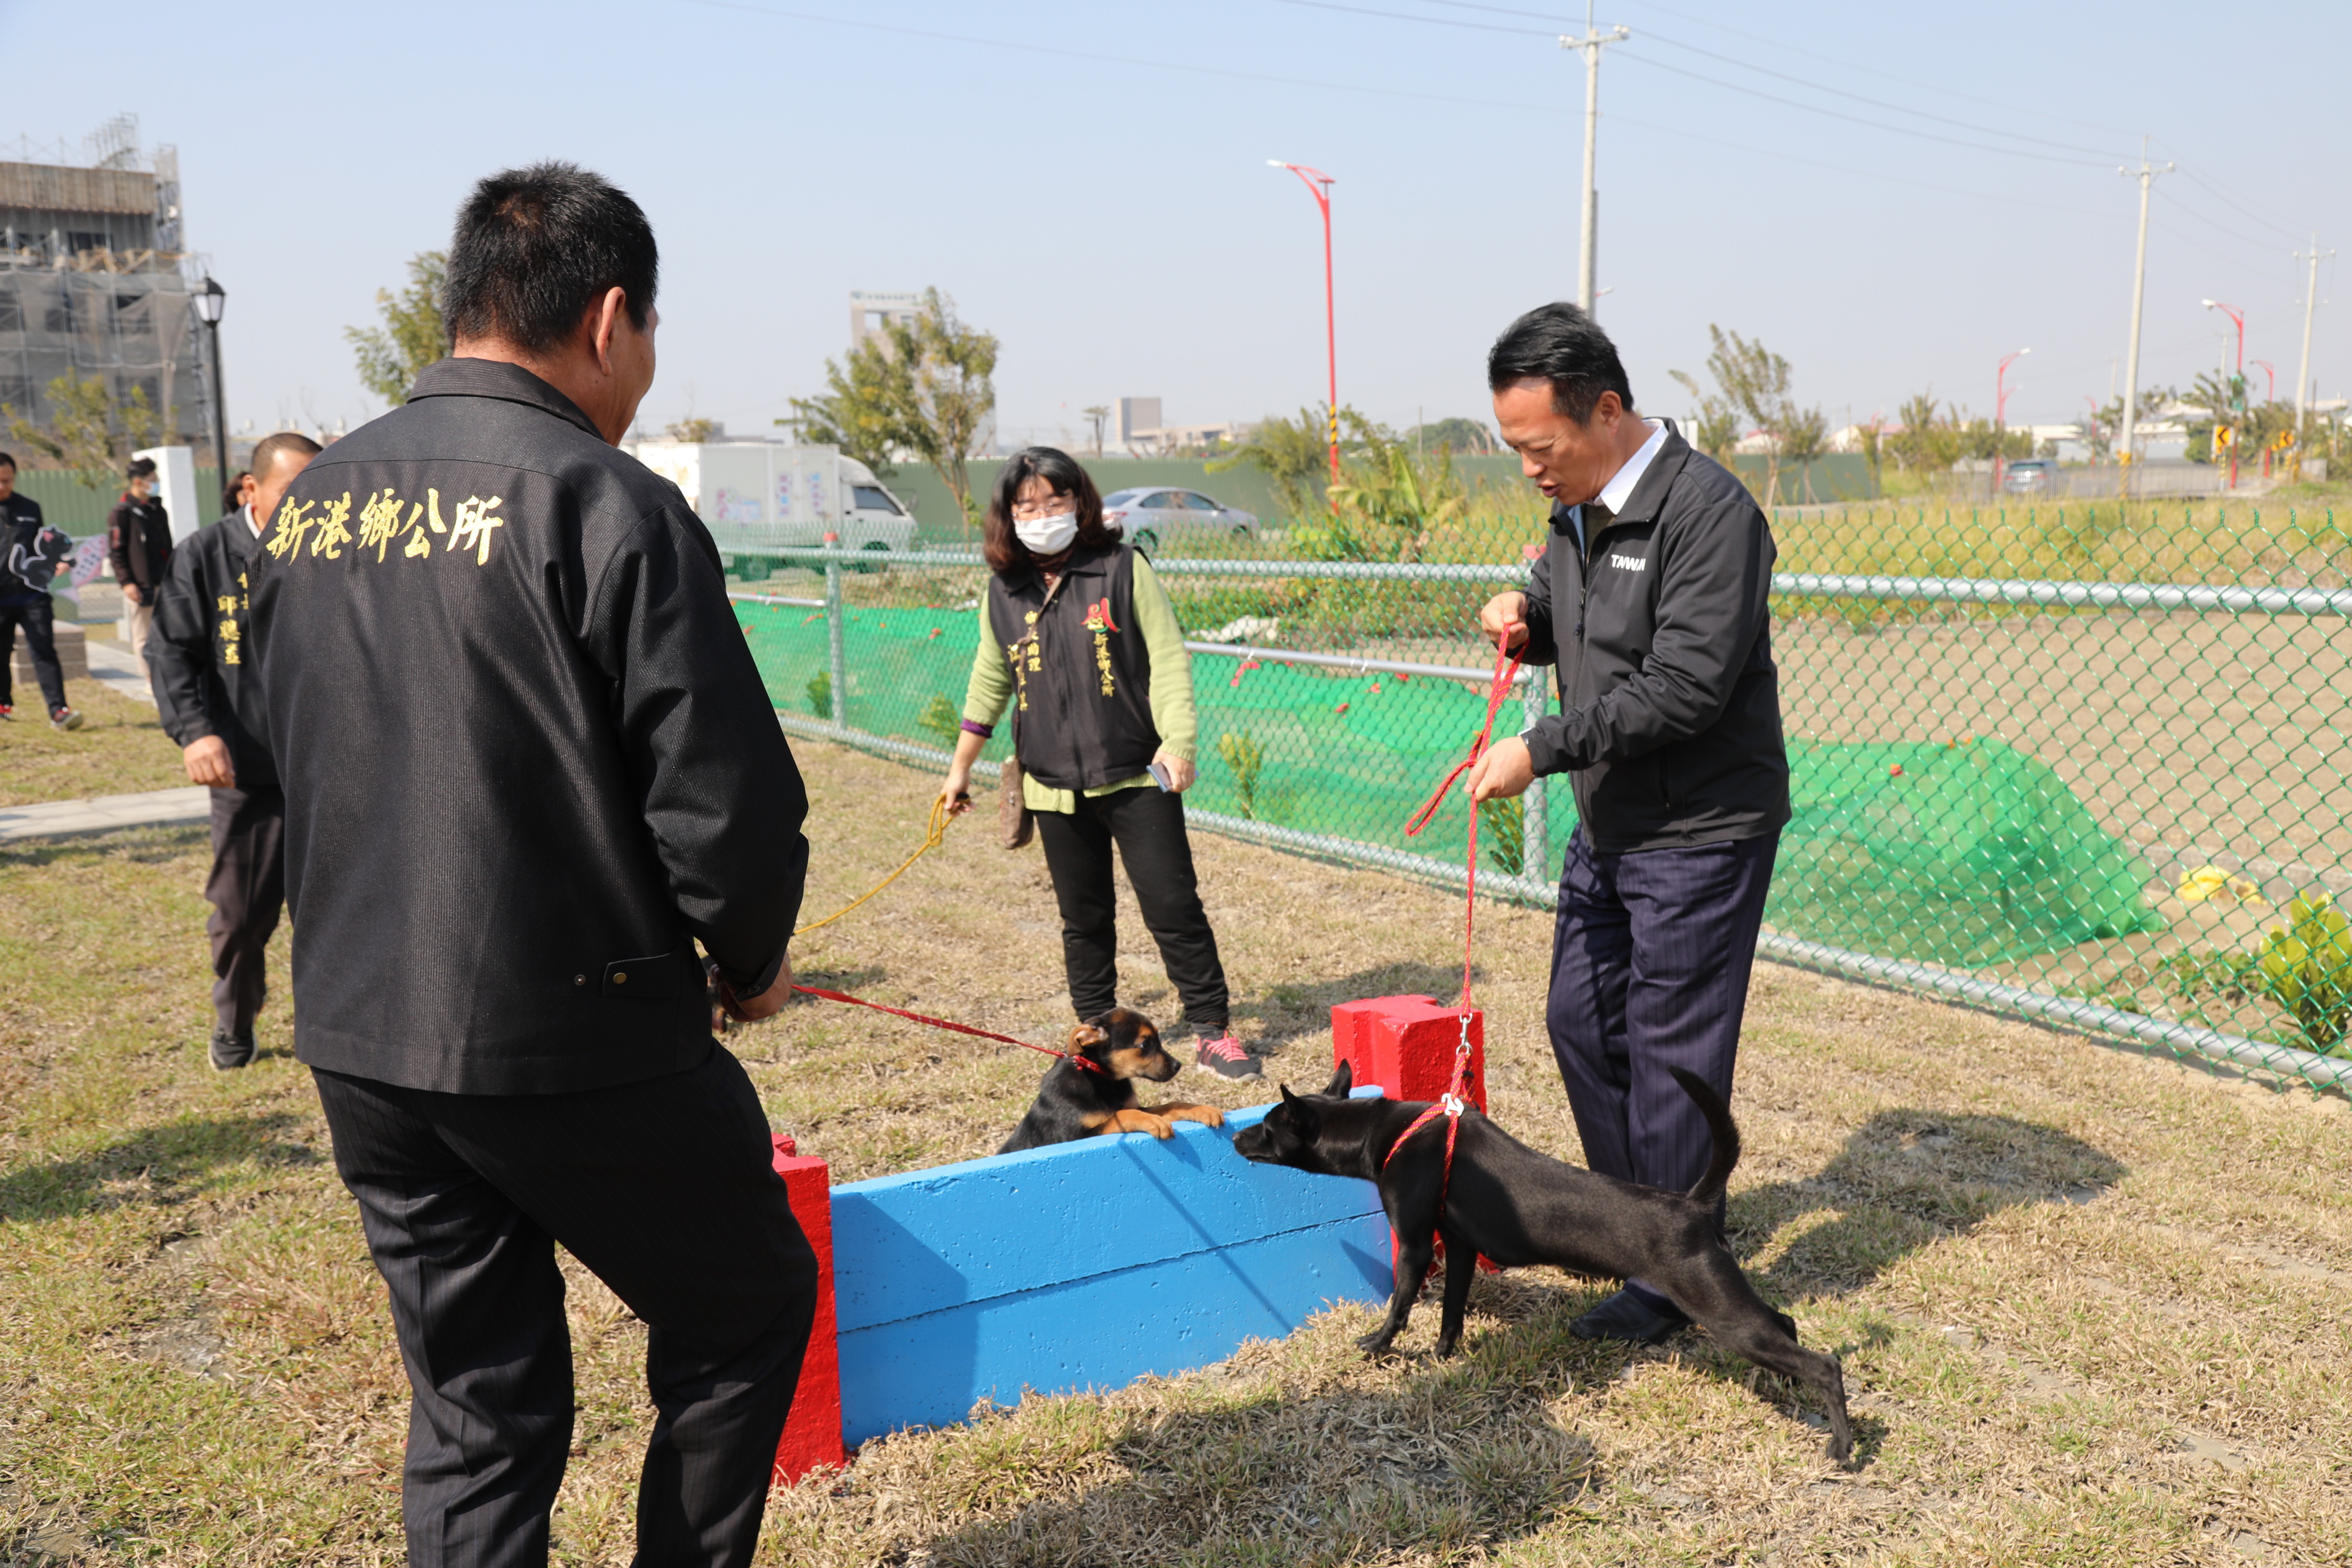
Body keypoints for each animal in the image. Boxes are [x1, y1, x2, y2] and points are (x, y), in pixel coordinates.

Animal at [1002, 1011, 1232, 1161]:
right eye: (1145, 1044)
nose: (1178, 1066)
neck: (1100, 1078)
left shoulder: (1136, 1106)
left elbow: (1171, 1105)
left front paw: (1202, 1110)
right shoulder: (1077, 1137)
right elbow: (1121, 1115)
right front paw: (1153, 1122)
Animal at [1232, 1062, 1853, 1467]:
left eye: (1268, 1124)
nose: (1235, 1138)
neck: (1386, 1132)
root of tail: (1693, 1206)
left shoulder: (1415, 1244)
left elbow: (1401, 1303)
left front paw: (1378, 1347)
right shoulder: (1459, 1248)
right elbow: (1452, 1313)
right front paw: (1442, 1358)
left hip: (1718, 1310)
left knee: (1826, 1365)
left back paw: (1843, 1448)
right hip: (1726, 1298)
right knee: (1785, 1324)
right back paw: (1786, 1387)